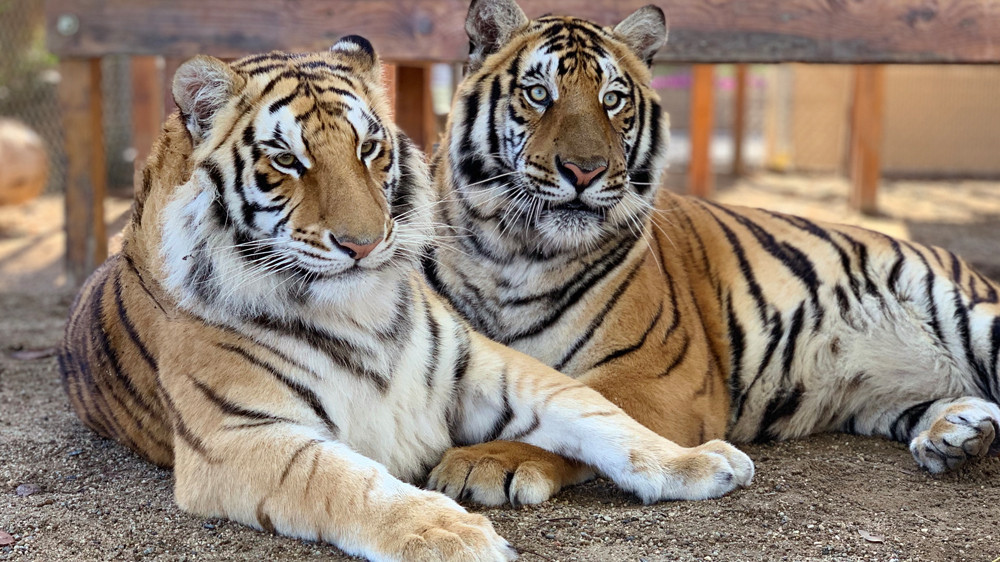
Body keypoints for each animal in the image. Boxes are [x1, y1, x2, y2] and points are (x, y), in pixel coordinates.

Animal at [422, 0, 1000, 506]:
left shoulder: (656, 377)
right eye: (539, 93)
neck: (511, 254)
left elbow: (580, 414)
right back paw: (958, 433)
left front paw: (486, 462)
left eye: (612, 100)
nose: (585, 170)